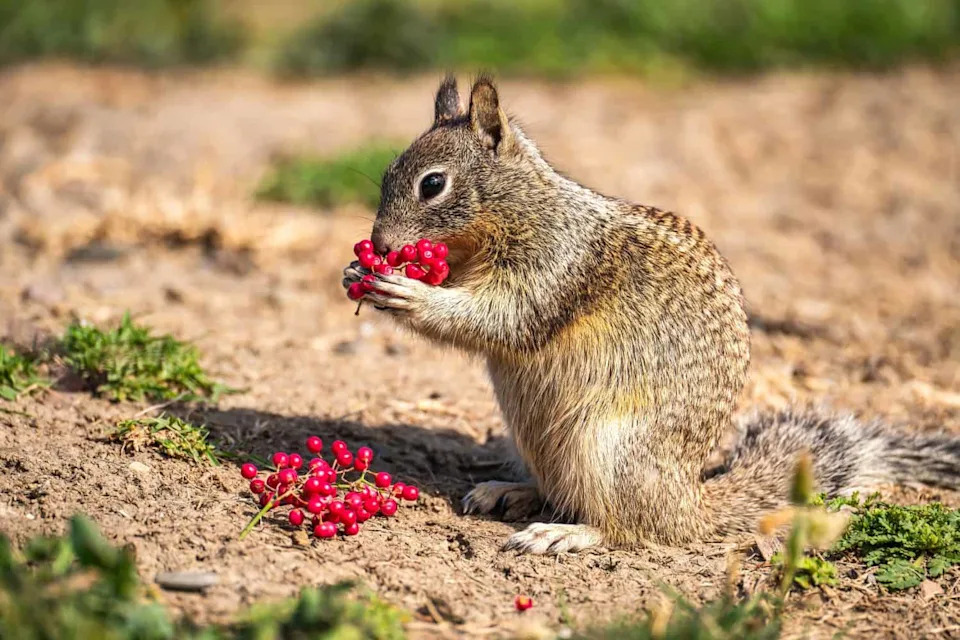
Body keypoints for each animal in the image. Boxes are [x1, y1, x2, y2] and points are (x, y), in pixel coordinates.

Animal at [342, 74, 960, 554]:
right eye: (389, 171)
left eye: (433, 184)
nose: (381, 243)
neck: (523, 208)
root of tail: (691, 502)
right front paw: (358, 274)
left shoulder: (555, 266)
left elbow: (502, 319)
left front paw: (407, 292)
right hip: (537, 442)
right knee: (562, 492)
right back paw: (510, 492)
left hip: (607, 451)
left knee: (632, 529)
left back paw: (566, 534)